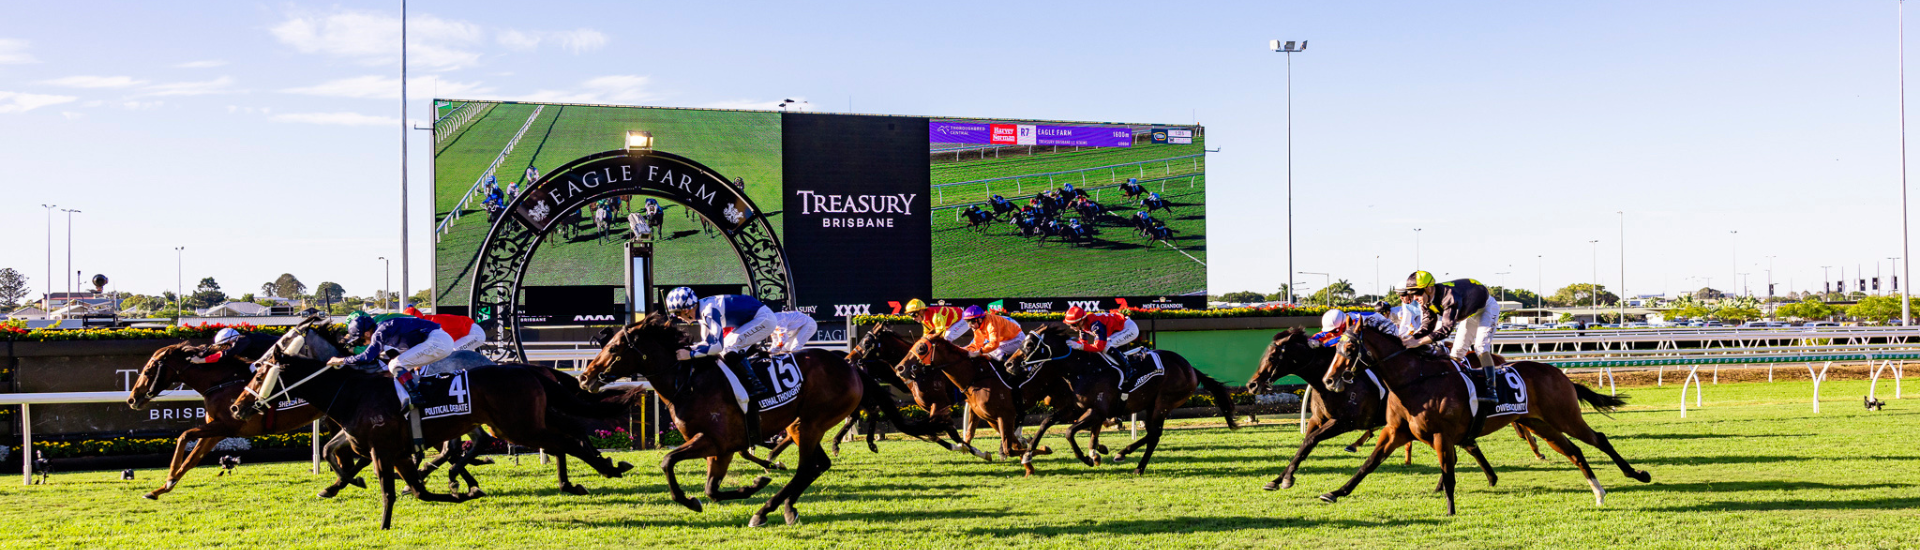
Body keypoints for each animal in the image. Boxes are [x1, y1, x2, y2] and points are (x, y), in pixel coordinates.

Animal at [576, 311, 936, 526]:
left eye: (615, 348)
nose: (585, 377)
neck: (687, 380)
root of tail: (851, 366)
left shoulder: (714, 441)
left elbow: (667, 461)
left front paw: (694, 501)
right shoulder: (720, 449)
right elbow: (711, 489)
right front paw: (751, 484)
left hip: (812, 422)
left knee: (806, 467)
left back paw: (766, 510)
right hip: (802, 424)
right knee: (816, 465)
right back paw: (785, 506)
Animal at [998, 328, 1236, 475]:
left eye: (1030, 345)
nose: (1009, 365)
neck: (1083, 368)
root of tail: (1190, 368)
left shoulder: (1097, 411)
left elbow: (1069, 432)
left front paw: (1087, 457)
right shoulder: (1076, 408)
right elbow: (1046, 422)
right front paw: (1028, 455)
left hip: (1163, 403)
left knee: (1155, 435)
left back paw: (1137, 466)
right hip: (1151, 406)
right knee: (1152, 433)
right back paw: (1124, 453)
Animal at [1244, 328, 1543, 492]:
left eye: (1273, 355)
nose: (1252, 384)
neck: (1324, 380)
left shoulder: (1345, 421)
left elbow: (1310, 441)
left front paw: (1286, 479)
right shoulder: (1320, 419)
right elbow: (1304, 445)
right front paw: (1278, 479)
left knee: (1515, 424)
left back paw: (1535, 450)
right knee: (1468, 444)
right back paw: (1485, 476)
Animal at [1320, 319, 1651, 515]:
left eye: (1350, 346)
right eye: (1335, 346)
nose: (1328, 380)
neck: (1415, 380)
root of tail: (1560, 373)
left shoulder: (1441, 435)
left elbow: (1448, 473)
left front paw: (1450, 510)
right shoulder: (1395, 432)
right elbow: (1368, 465)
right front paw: (1335, 493)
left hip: (1564, 416)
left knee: (1599, 439)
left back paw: (1636, 474)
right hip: (1540, 424)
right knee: (1575, 451)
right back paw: (1599, 493)